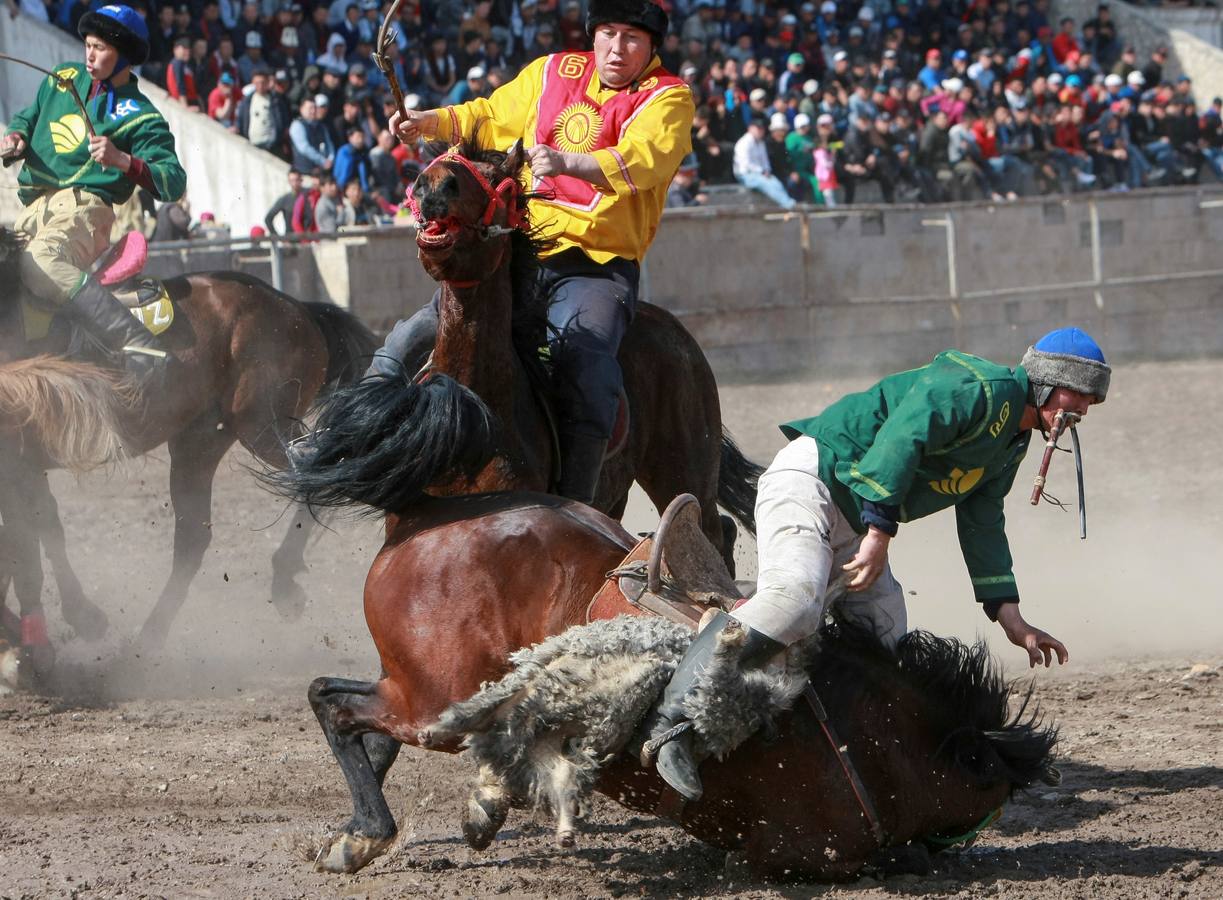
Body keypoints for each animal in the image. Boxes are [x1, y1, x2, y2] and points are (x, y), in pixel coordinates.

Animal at [0, 227, 378, 657]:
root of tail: (296, 307)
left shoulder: (17, 461)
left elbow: (31, 536)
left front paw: (72, 622)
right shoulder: (23, 465)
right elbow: (37, 529)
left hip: (261, 426)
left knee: (321, 469)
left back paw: (283, 581)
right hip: (200, 440)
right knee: (193, 537)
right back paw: (147, 640)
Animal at [273, 137, 761, 570]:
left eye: (498, 182)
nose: (431, 187)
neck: (477, 412)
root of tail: (674, 330)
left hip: (684, 468)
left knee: (714, 531)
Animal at [305, 490, 1058, 878]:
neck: (867, 739)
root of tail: (427, 514)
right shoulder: (797, 852)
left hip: (428, 690)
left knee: (369, 719)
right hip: (427, 695)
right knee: (332, 704)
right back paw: (365, 835)